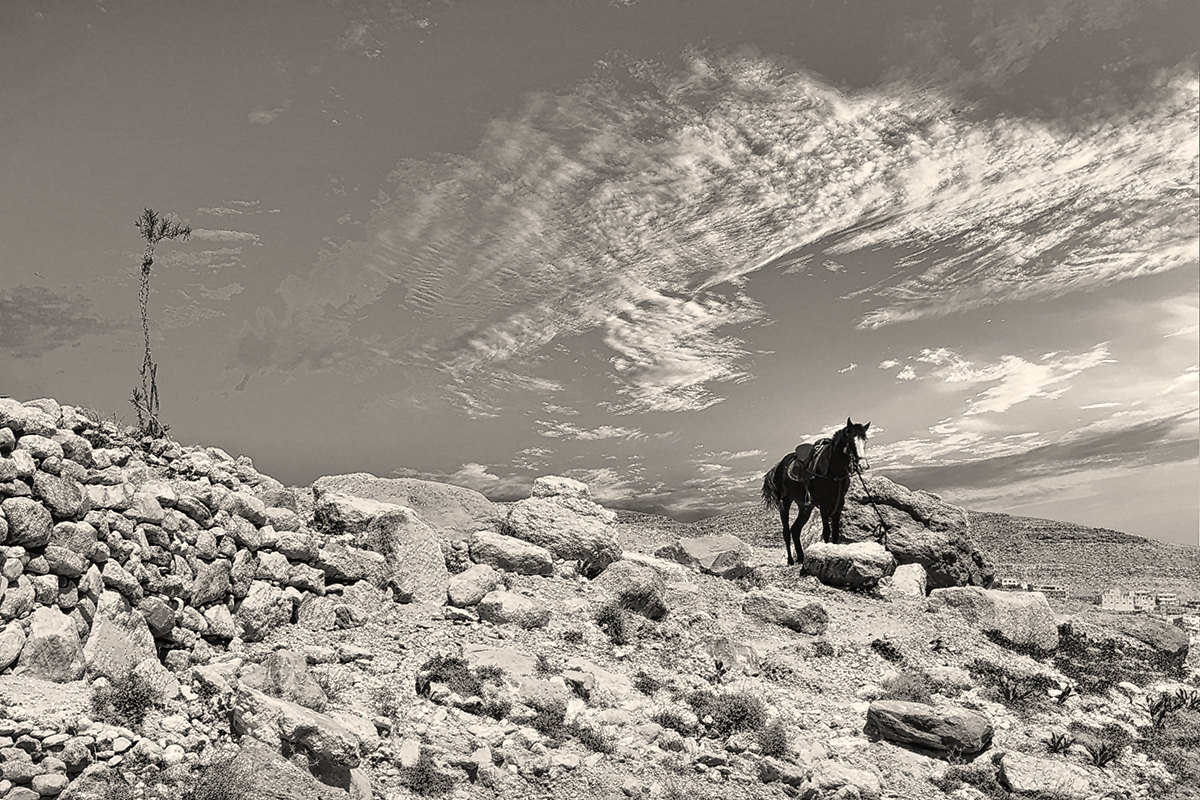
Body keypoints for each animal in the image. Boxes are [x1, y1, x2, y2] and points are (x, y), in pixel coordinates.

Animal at [758, 417, 873, 566]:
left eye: (865, 440)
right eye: (850, 441)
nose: (863, 465)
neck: (833, 472)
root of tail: (777, 467)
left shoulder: (839, 504)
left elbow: (835, 532)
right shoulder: (824, 505)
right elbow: (826, 531)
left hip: (805, 506)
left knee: (795, 529)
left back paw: (801, 557)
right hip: (785, 503)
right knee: (786, 532)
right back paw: (790, 560)